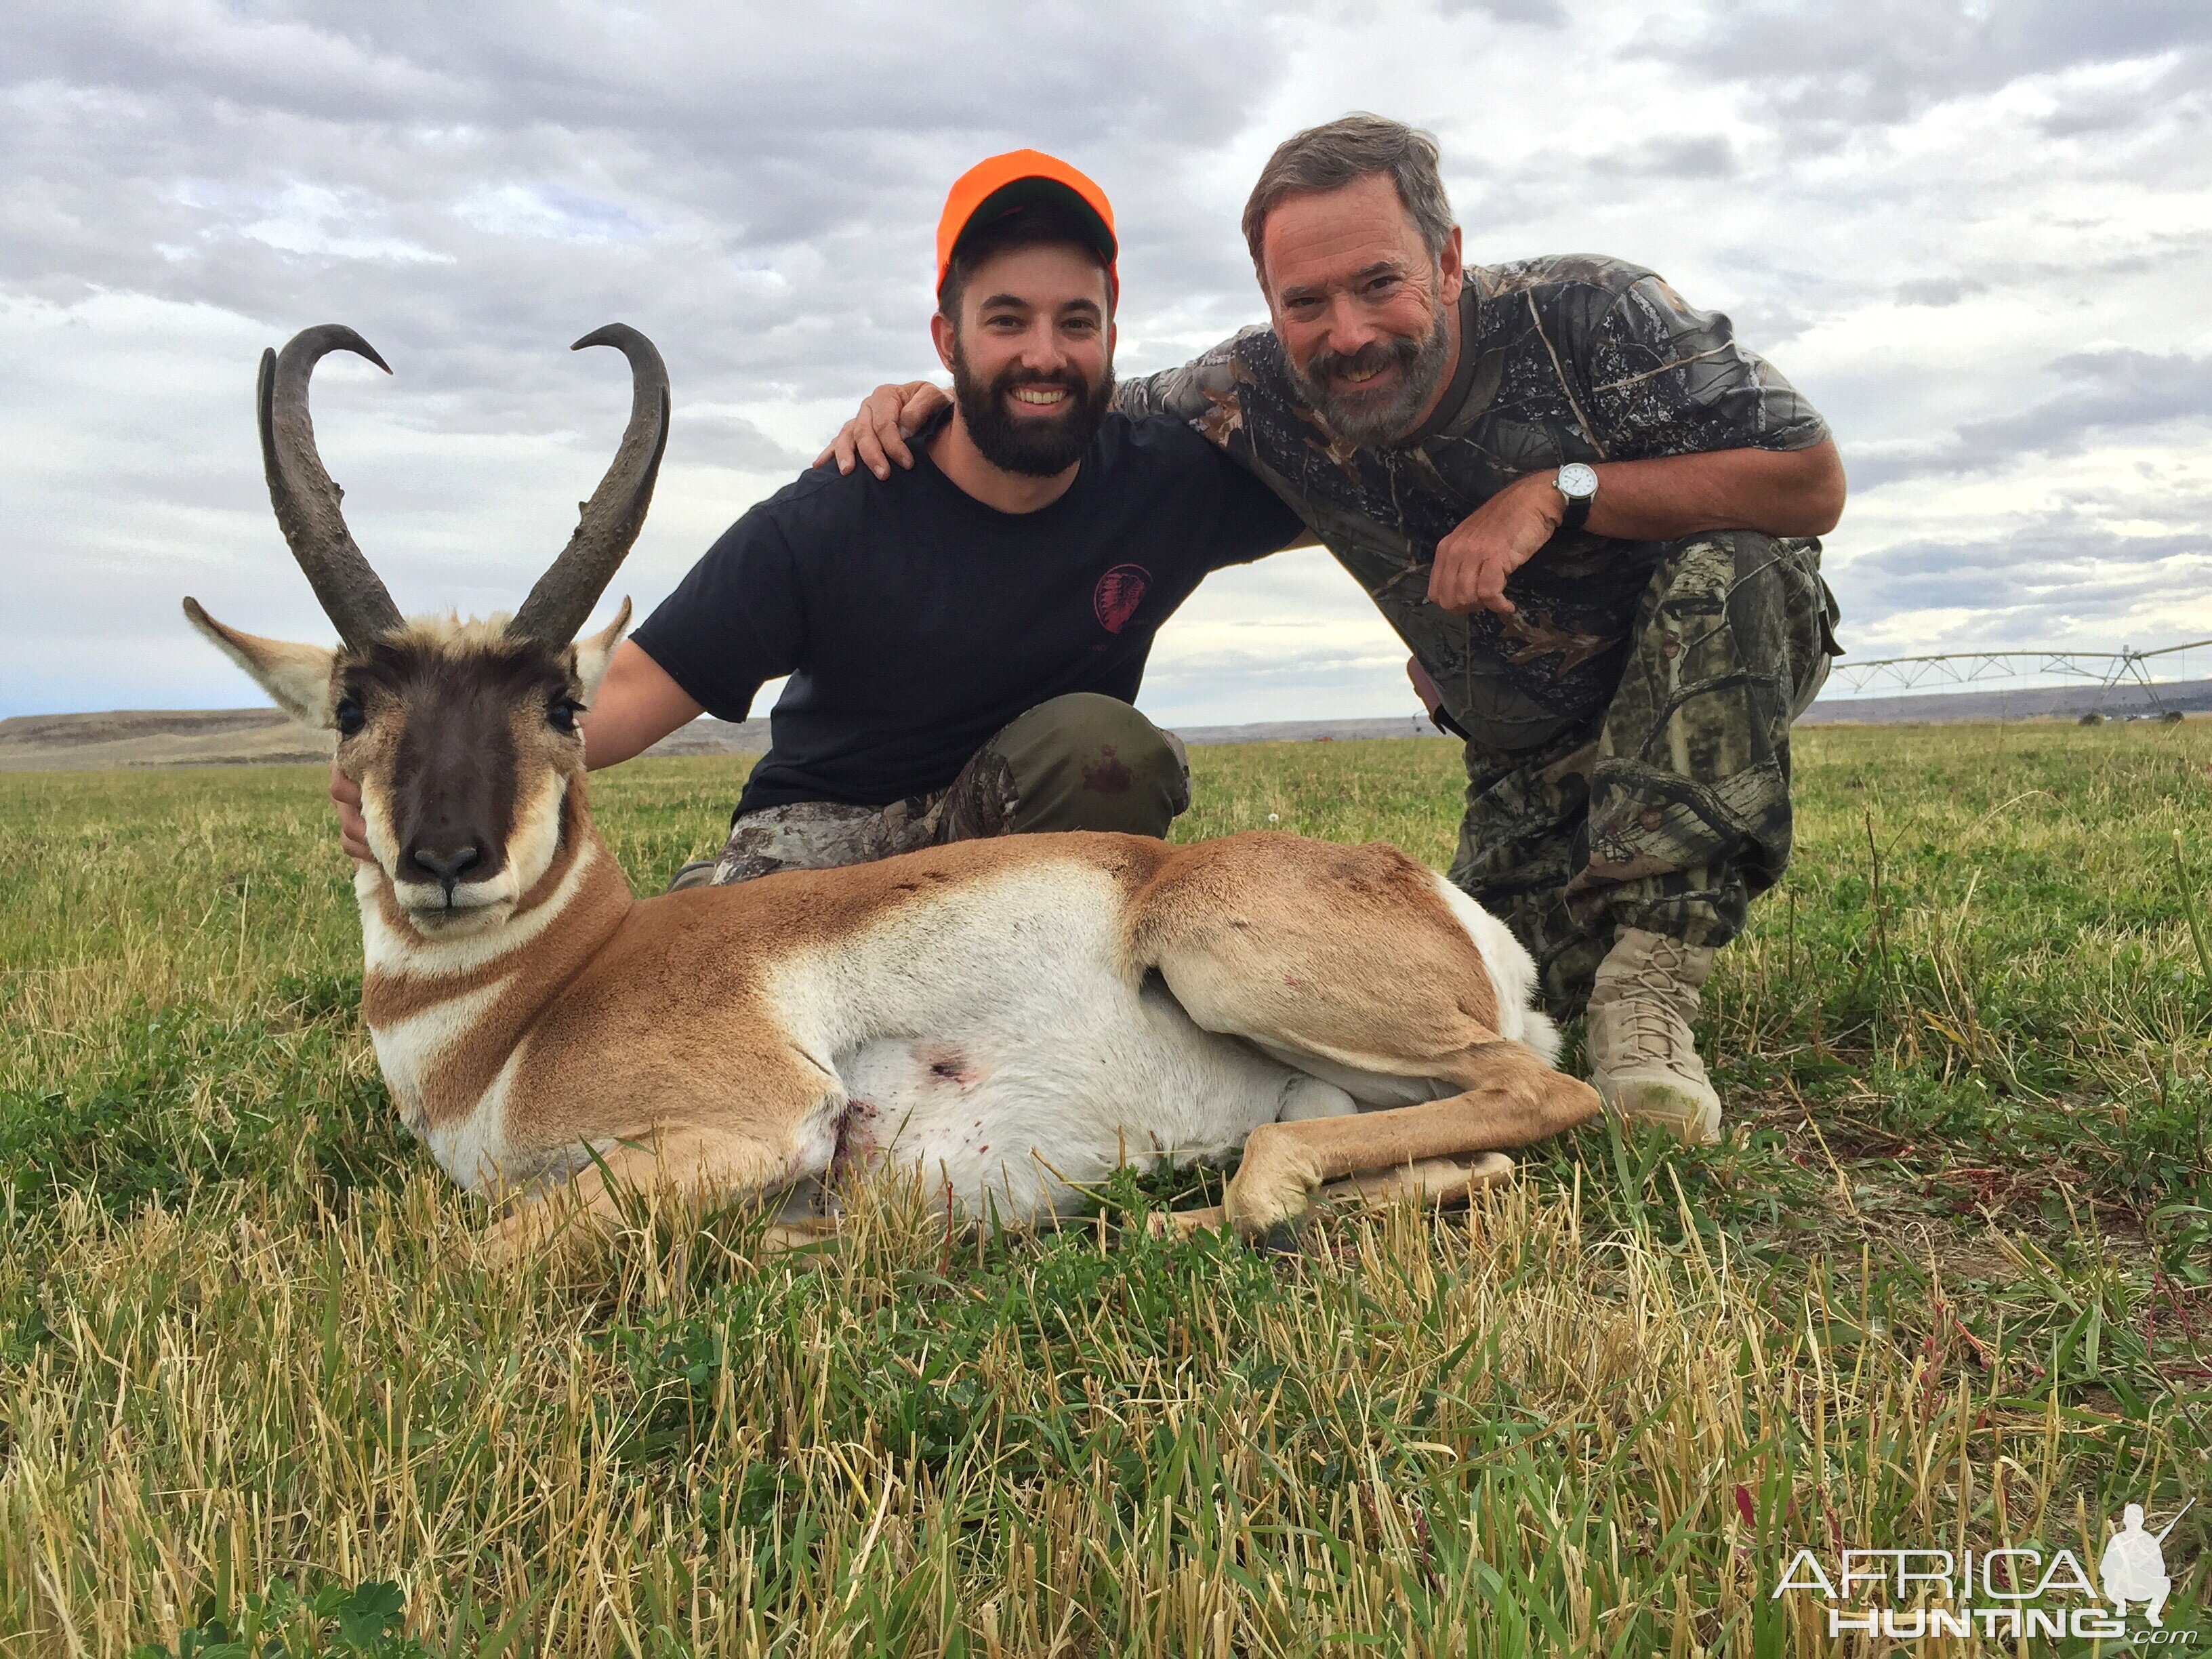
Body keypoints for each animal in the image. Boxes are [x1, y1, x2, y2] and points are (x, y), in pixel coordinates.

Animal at [186, 325, 1593, 1256]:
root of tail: (1445, 906)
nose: (446, 856)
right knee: (1464, 1148)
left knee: (1534, 1098)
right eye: (354, 707)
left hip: (1221, 959)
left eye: (562, 705)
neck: (539, 999)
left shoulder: (747, 1127)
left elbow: (466, 1260)